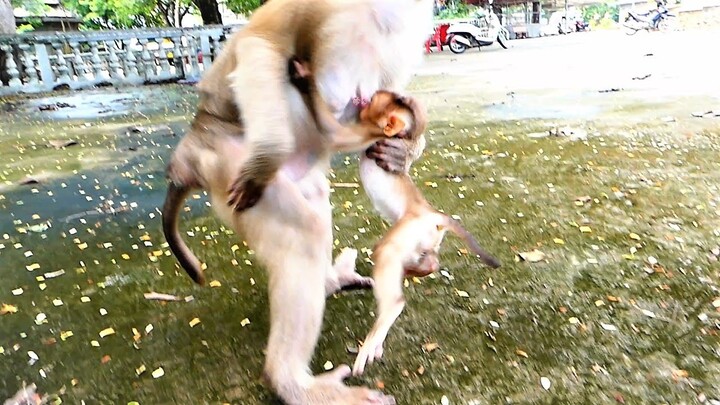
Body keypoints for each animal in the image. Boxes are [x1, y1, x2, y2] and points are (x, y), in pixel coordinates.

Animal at [163, 0, 434, 402]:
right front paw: (269, 155)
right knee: (304, 231)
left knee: (315, 200)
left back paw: (330, 282)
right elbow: (261, 43)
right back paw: (290, 382)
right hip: (226, 158)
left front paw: (403, 150)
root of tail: (186, 159)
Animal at [286, 56, 500, 376]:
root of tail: (432, 214)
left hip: (403, 235)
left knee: (394, 295)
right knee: (429, 262)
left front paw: (304, 73)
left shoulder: (365, 136)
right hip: (421, 243)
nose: (366, 93)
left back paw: (371, 343)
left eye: (378, 99)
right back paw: (410, 274)